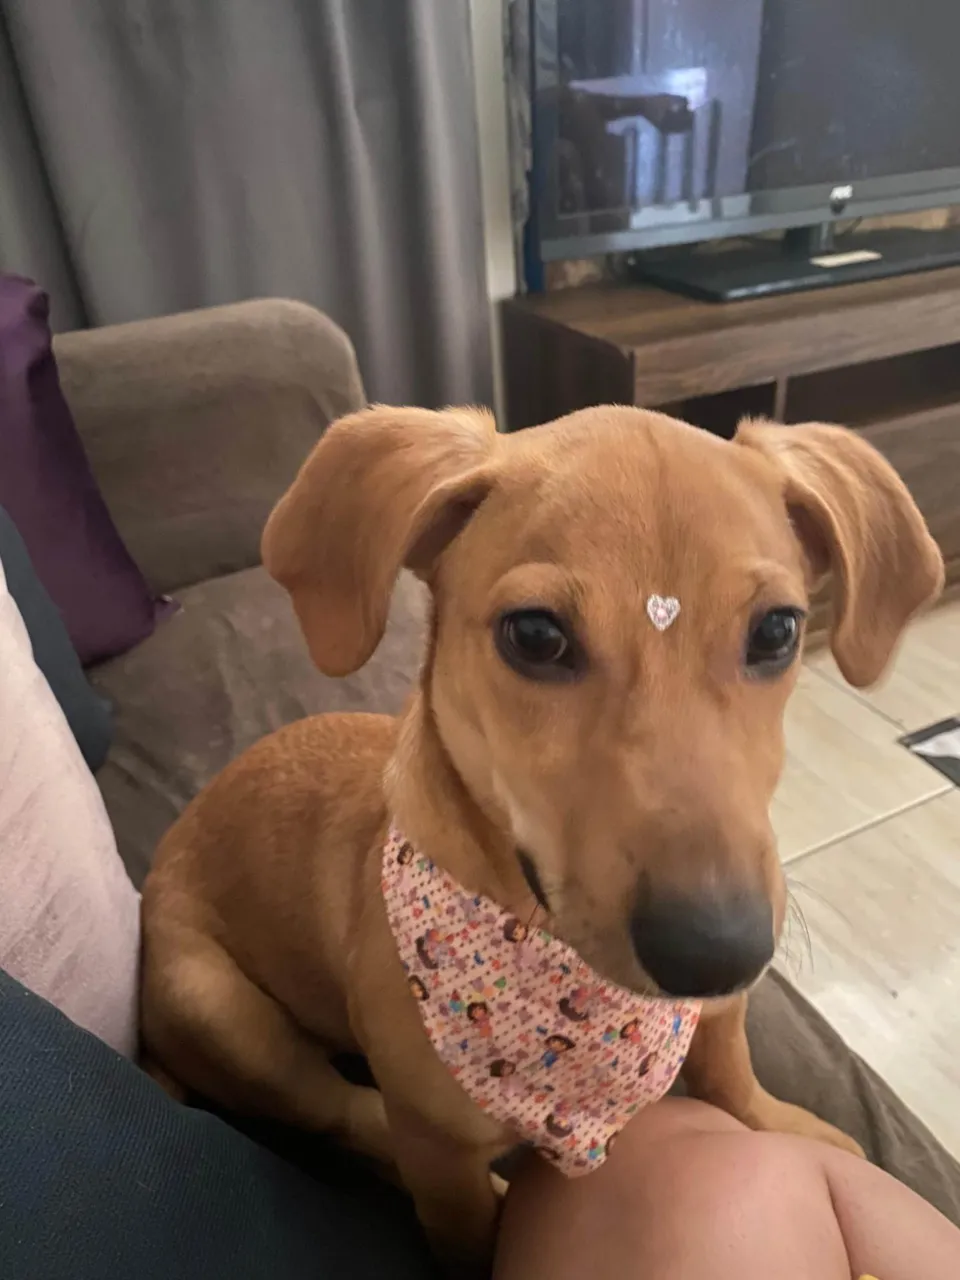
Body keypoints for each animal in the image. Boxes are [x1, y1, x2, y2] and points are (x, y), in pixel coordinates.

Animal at [140, 404, 943, 1271]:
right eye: (533, 635)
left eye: (778, 631)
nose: (718, 954)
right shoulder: (442, 1172)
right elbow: (457, 1221)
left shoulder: (722, 1004)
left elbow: (730, 1067)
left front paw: (782, 1122)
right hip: (220, 1009)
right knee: (349, 1113)